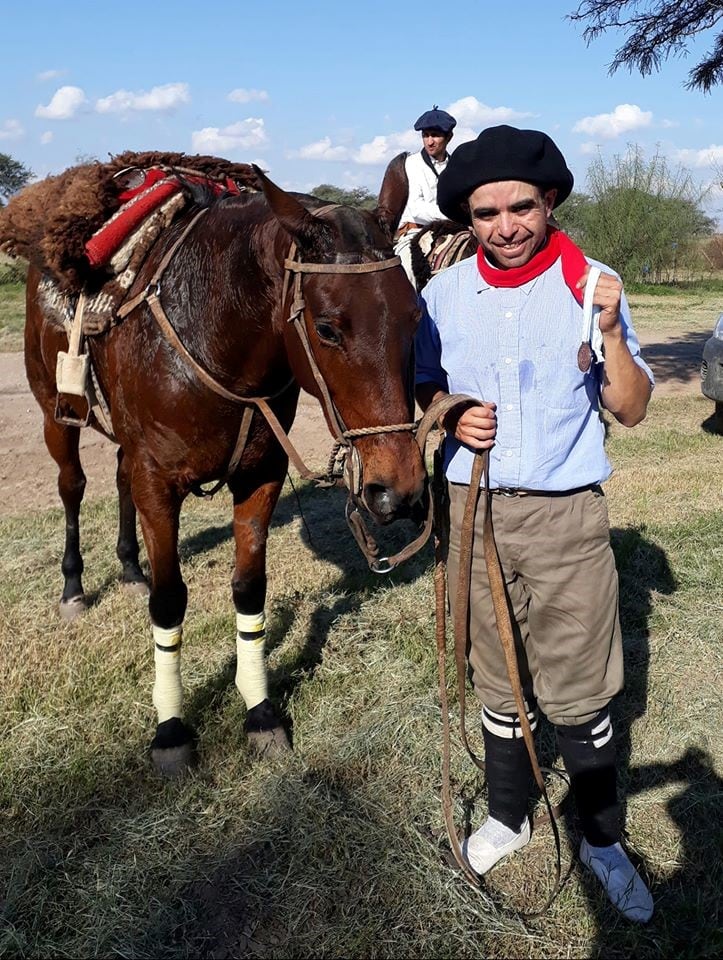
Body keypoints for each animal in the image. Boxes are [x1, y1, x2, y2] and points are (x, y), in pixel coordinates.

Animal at [25, 165, 428, 776]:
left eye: (415, 316)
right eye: (328, 329)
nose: (397, 490)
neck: (212, 329)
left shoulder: (260, 475)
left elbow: (249, 589)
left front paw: (260, 713)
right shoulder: (157, 482)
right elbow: (169, 599)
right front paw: (170, 730)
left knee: (117, 479)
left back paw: (129, 566)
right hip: (56, 412)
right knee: (72, 486)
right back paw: (74, 586)